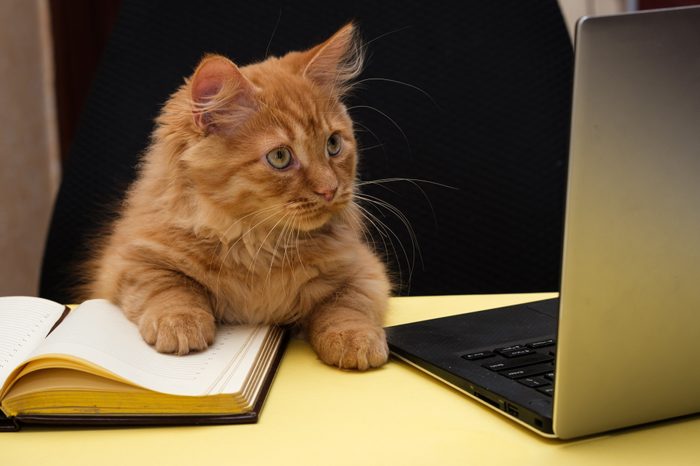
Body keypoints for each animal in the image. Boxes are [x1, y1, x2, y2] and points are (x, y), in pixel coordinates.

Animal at [80, 23, 394, 370]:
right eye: (280, 157)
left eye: (333, 144)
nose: (330, 190)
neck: (259, 244)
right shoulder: (127, 261)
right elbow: (171, 287)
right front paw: (181, 323)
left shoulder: (366, 270)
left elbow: (346, 304)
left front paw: (354, 339)